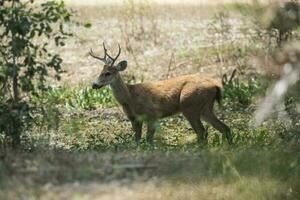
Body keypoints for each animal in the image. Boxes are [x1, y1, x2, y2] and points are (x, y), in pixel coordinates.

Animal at [89, 42, 232, 145]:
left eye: (108, 73)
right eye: (100, 72)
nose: (94, 85)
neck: (130, 98)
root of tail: (216, 85)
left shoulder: (153, 114)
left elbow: (149, 140)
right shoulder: (134, 119)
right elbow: (137, 141)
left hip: (190, 105)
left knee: (202, 132)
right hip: (205, 108)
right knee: (224, 128)